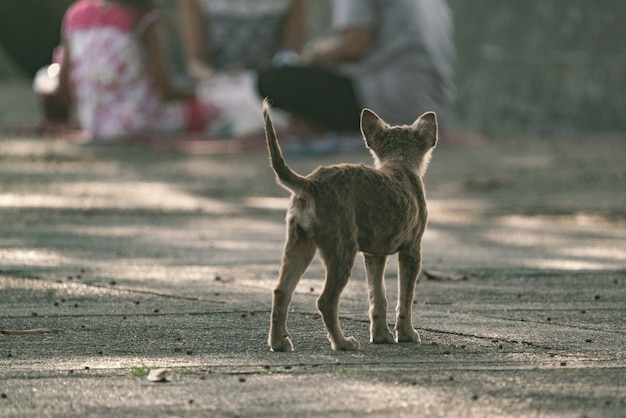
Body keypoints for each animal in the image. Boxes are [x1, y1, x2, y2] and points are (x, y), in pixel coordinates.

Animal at [264, 99, 438, 352]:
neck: (400, 165)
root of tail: (311, 184)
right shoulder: (412, 251)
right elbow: (404, 299)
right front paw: (406, 334)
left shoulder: (374, 255)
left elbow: (378, 298)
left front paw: (381, 336)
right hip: (342, 250)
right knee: (326, 301)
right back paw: (342, 342)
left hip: (300, 245)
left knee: (281, 291)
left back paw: (279, 342)